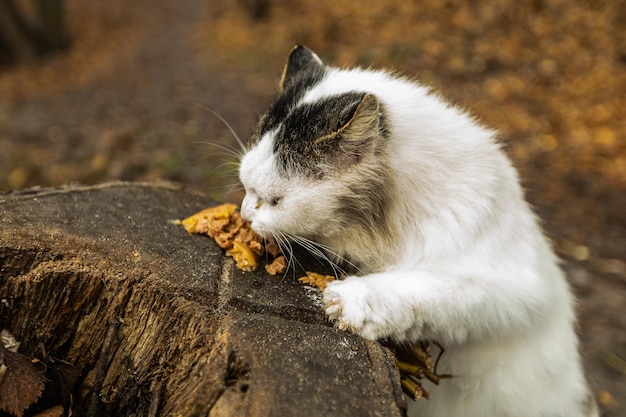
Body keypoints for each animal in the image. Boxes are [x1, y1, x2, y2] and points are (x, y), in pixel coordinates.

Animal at [235, 45, 596, 416]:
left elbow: (424, 289)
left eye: (274, 201)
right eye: (246, 187)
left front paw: (351, 302)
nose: (246, 214)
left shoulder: (509, 292)